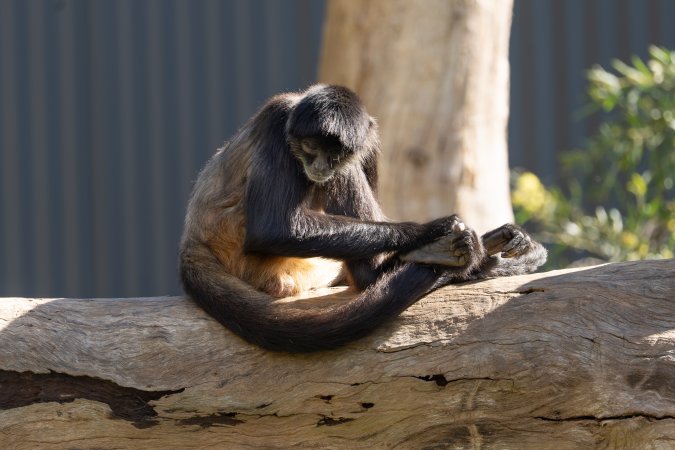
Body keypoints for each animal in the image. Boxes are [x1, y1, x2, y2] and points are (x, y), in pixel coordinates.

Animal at [179, 84, 547, 352]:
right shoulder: (276, 120)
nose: (321, 164)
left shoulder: (369, 138)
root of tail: (193, 240)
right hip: (240, 243)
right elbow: (271, 228)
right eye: (310, 147)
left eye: (335, 152)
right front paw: (431, 230)